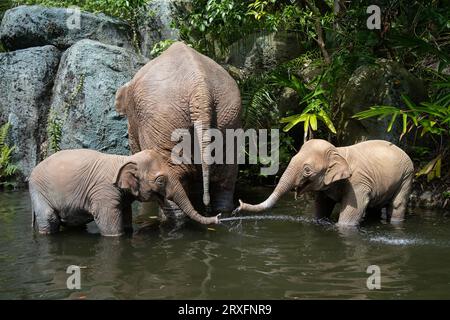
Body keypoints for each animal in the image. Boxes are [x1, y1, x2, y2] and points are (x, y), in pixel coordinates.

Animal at [28, 149, 169, 235]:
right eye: (160, 181)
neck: (125, 159)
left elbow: (126, 214)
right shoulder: (104, 192)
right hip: (39, 191)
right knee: (49, 217)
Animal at [236, 139, 414, 226]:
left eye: (307, 170)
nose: (238, 205)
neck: (338, 152)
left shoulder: (358, 184)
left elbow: (353, 212)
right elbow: (321, 207)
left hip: (407, 176)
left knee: (397, 205)